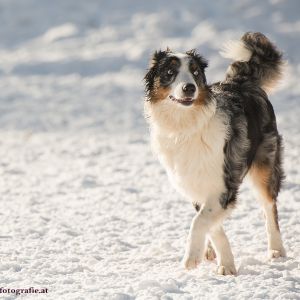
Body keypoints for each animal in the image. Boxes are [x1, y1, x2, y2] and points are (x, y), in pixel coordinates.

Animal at [143, 32, 286, 274]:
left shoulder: (224, 182)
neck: (186, 126)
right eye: (170, 73)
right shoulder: (194, 183)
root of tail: (242, 80)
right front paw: (225, 263)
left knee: (269, 208)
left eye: (195, 72)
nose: (189, 88)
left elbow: (200, 221)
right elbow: (211, 223)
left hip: (265, 164)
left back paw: (276, 250)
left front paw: (191, 257)